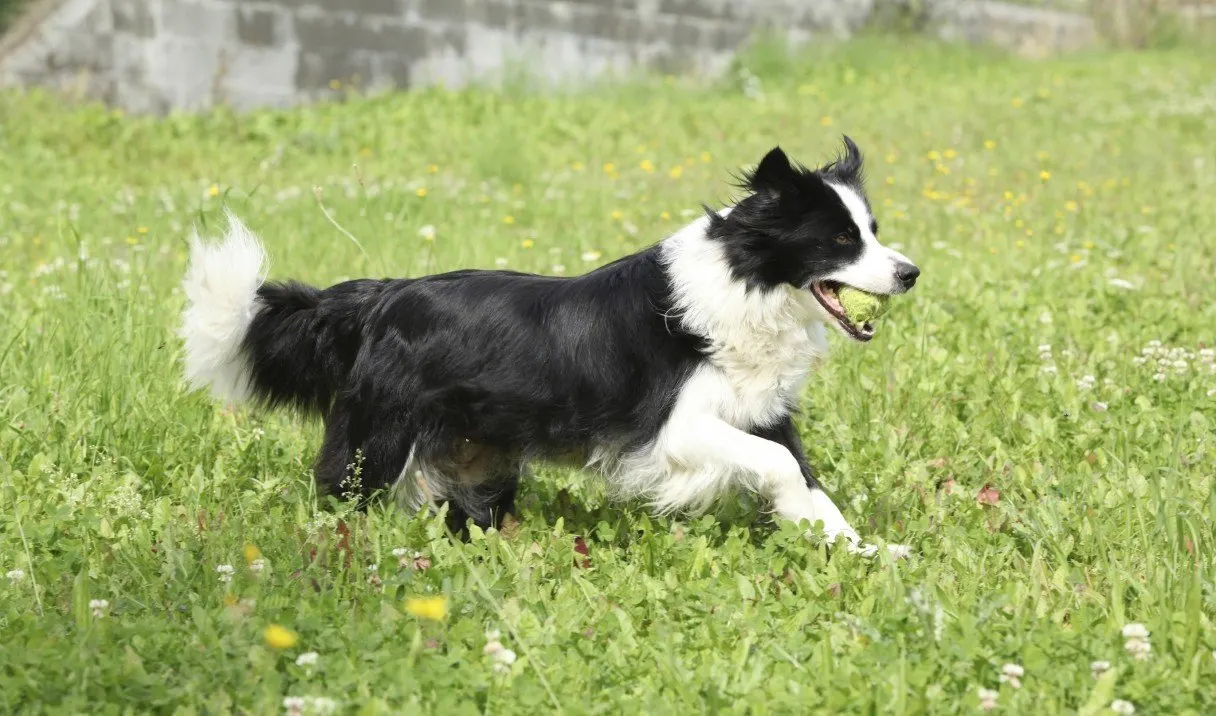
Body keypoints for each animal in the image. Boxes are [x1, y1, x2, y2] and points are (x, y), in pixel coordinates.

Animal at [179, 136, 914, 556]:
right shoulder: (673, 429)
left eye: (873, 230)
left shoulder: (761, 411)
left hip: (475, 456)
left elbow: (809, 480)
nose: (910, 272)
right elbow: (780, 466)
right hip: (378, 438)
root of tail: (376, 299)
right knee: (340, 491)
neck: (747, 282)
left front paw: (862, 553)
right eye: (841, 240)